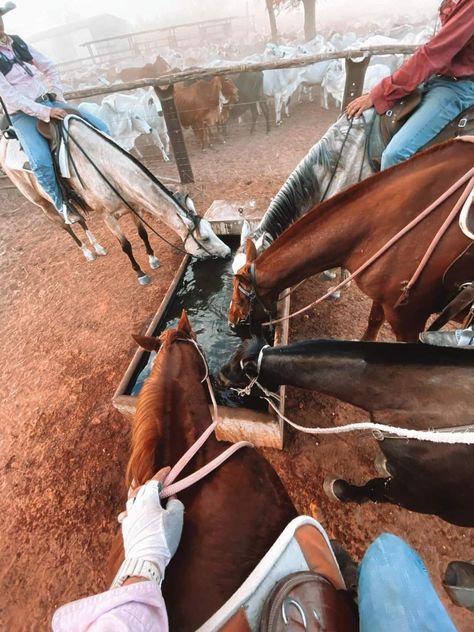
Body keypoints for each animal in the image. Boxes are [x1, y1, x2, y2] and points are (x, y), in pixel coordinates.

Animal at [220, 338, 474, 524]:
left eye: (238, 372)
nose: (220, 374)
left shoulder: (421, 495)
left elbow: (374, 488)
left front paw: (340, 489)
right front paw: (384, 464)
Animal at [228, 138, 472, 340]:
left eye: (240, 286)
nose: (231, 320)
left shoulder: (407, 317)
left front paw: (336, 286)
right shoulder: (382, 297)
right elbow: (373, 321)